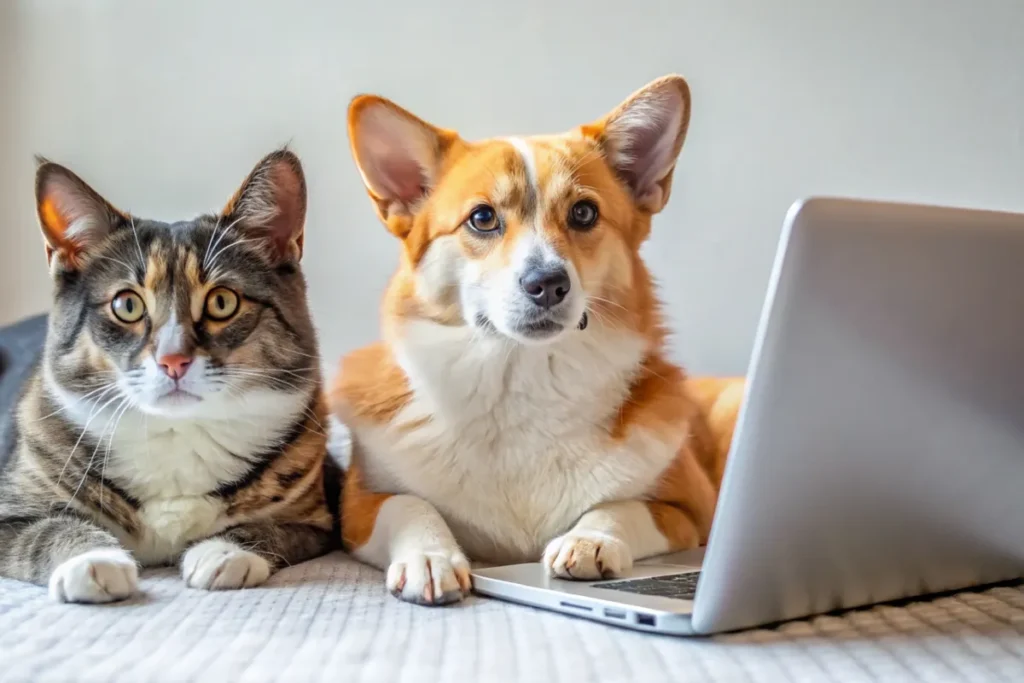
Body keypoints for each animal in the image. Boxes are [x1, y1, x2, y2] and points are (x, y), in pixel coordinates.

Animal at [0, 148, 337, 602]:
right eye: (126, 305)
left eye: (222, 302)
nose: (173, 359)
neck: (176, 432)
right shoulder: (13, 504)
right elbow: (47, 530)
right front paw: (94, 560)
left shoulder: (318, 519)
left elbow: (272, 528)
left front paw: (222, 552)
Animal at [333, 77, 745, 606]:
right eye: (482, 218)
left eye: (584, 213)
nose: (547, 283)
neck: (520, 374)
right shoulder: (357, 507)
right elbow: (407, 505)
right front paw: (430, 557)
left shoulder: (690, 509)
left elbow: (622, 506)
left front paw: (588, 540)